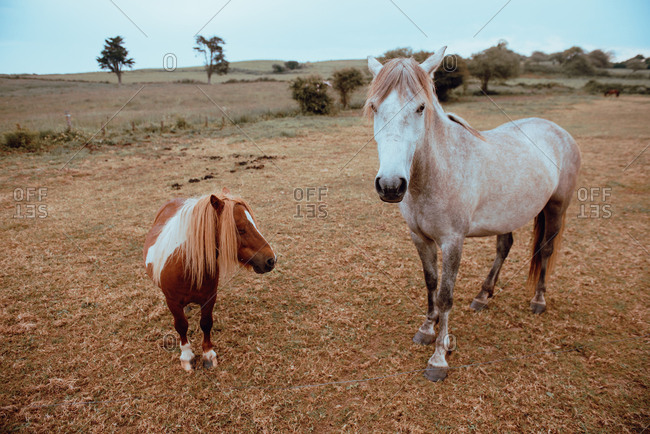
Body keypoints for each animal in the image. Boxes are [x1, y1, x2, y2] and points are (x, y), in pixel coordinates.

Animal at [143, 188, 276, 371]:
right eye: (240, 229)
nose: (271, 260)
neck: (185, 266)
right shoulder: (172, 302)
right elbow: (181, 326)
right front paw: (187, 356)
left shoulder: (209, 297)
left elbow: (206, 323)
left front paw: (208, 355)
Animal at [365, 47, 581, 381]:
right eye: (375, 107)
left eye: (420, 108)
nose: (390, 185)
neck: (437, 171)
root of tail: (558, 131)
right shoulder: (420, 238)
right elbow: (431, 283)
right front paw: (427, 329)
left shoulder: (453, 242)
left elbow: (445, 294)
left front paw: (439, 358)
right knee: (504, 248)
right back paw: (483, 295)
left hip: (556, 207)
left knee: (545, 250)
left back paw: (538, 300)